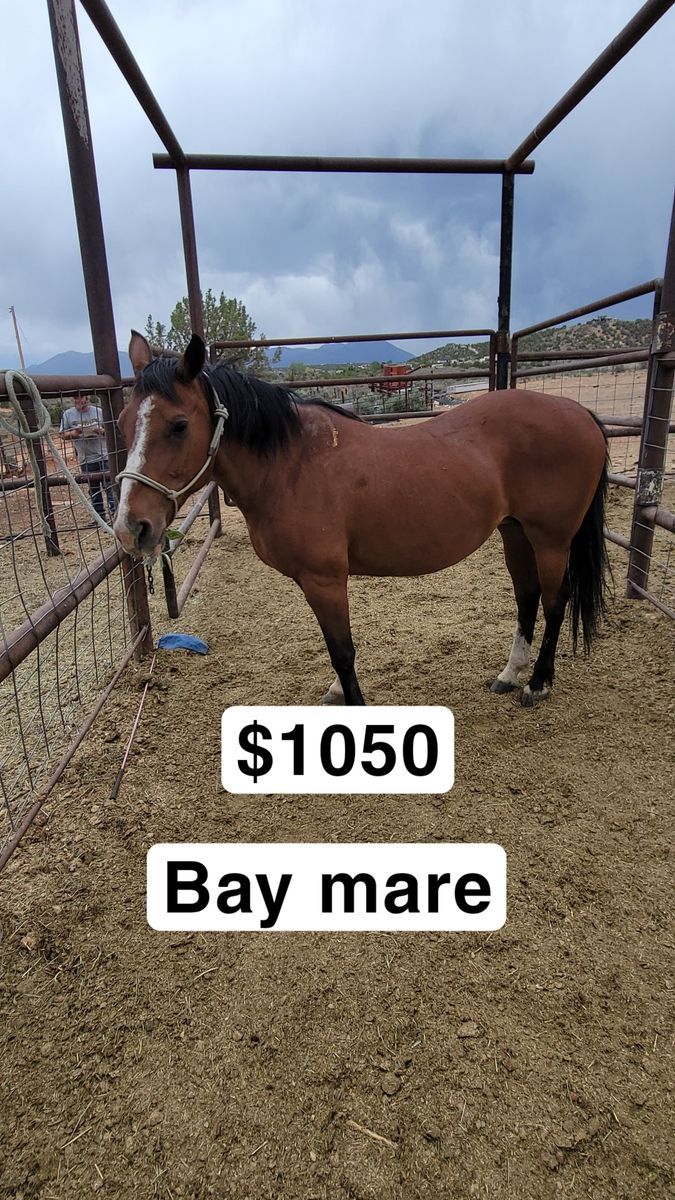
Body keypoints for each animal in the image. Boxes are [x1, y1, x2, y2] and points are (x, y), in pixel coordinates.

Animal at [113, 331, 610, 707]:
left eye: (178, 425)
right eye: (122, 422)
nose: (131, 528)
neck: (291, 463)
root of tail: (580, 413)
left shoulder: (325, 579)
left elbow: (343, 651)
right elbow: (336, 649)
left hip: (550, 538)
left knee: (555, 600)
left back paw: (538, 684)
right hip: (515, 532)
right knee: (527, 597)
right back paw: (510, 674)